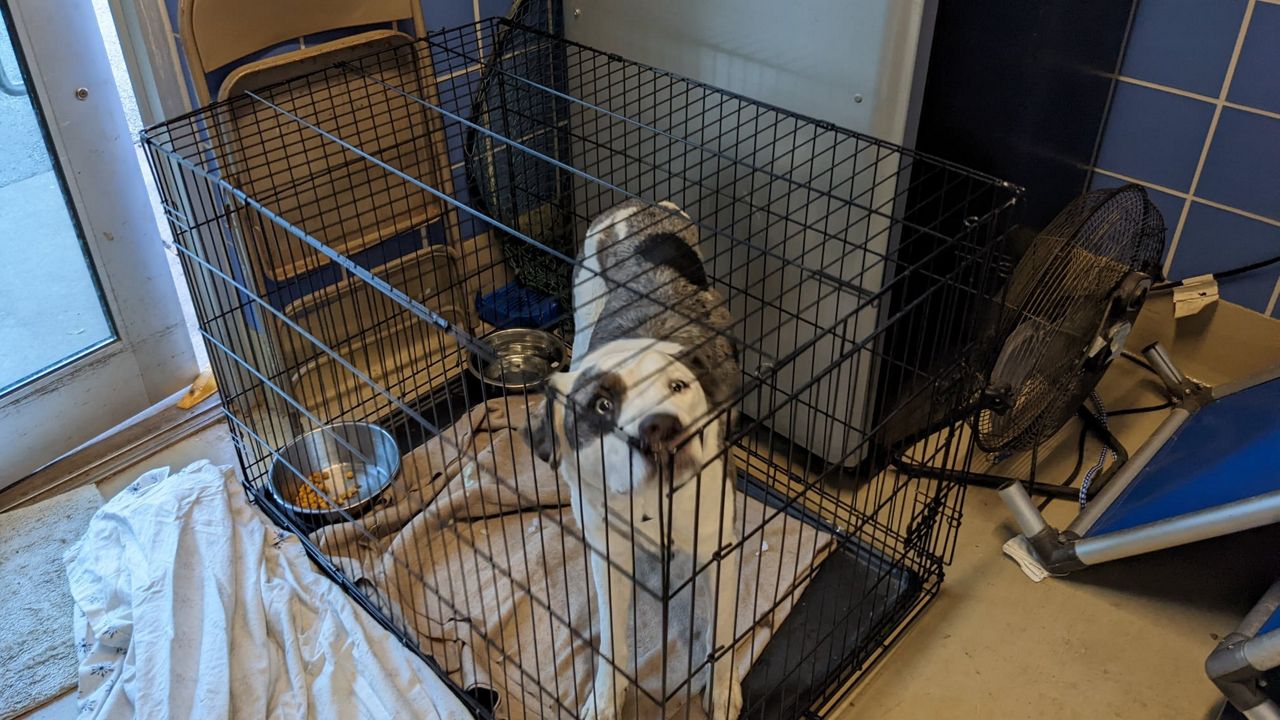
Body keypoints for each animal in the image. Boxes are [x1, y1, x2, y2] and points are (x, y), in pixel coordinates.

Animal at [527, 197, 742, 717]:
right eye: (602, 406)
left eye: (679, 386)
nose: (661, 429)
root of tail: (637, 205)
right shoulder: (608, 555)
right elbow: (613, 642)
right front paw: (607, 698)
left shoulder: (721, 548)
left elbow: (722, 632)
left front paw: (722, 687)